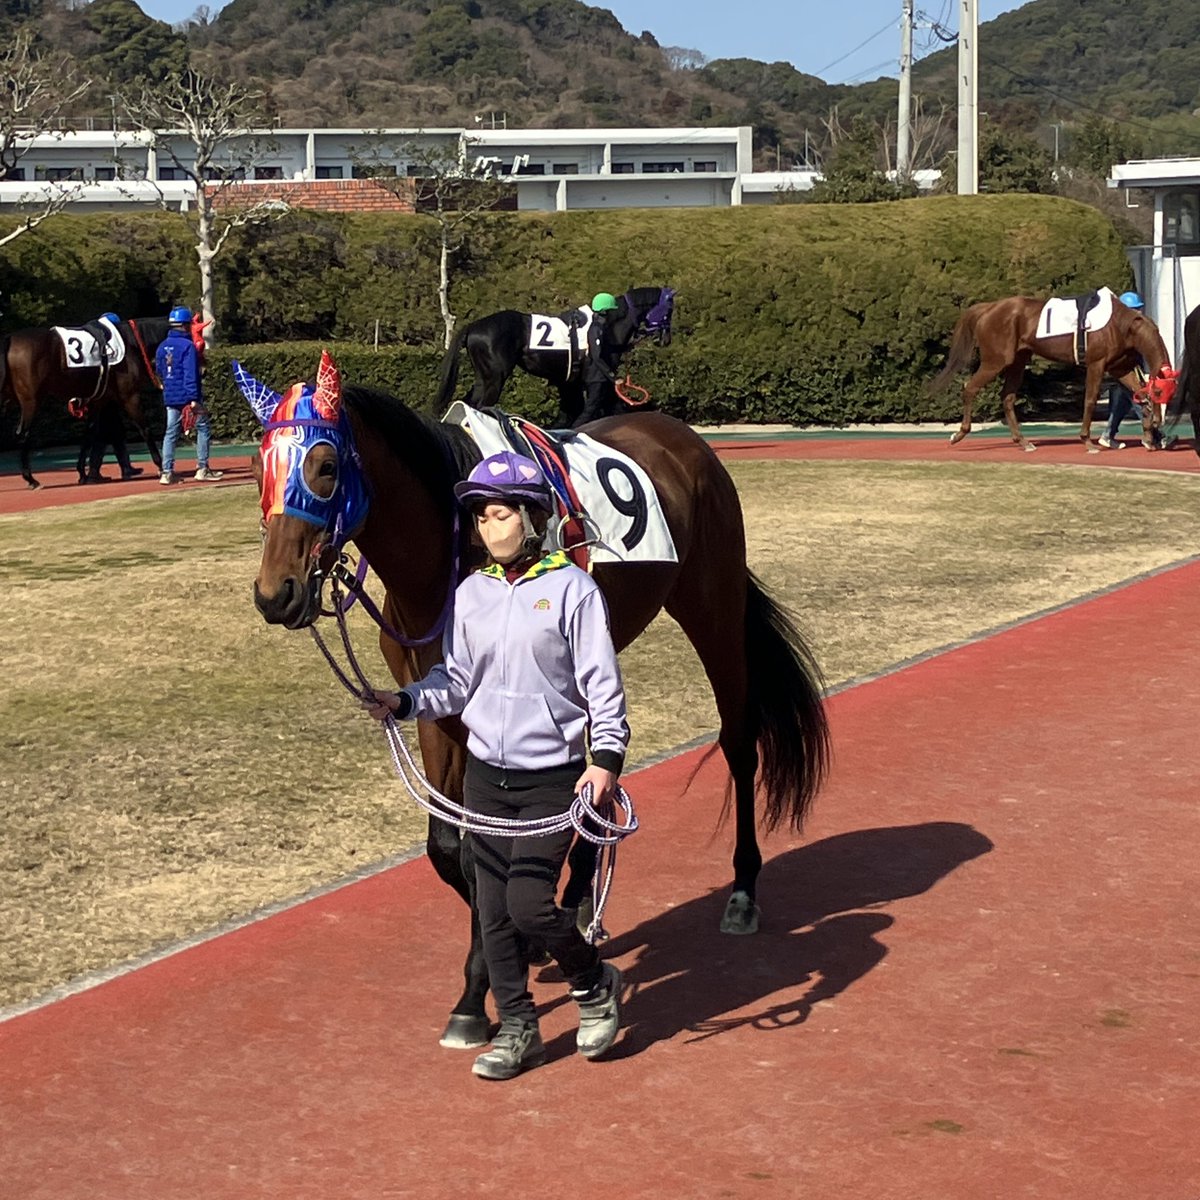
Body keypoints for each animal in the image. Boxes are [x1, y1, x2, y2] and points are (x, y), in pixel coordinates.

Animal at [0, 316, 170, 488]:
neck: (132, 342)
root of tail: (9, 338)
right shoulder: (129, 396)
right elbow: (145, 429)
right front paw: (161, 467)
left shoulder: (99, 400)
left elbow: (89, 434)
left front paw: (83, 473)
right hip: (31, 400)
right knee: (23, 433)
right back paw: (30, 479)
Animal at [238, 350, 830, 1051]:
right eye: (257, 469)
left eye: (326, 467)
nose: (275, 593)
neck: (447, 555)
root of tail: (684, 440)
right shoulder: (439, 709)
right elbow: (453, 850)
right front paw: (515, 953)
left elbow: (482, 848)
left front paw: (479, 992)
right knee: (599, 771)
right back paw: (574, 898)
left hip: (710, 610)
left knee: (735, 743)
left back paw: (741, 890)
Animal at [434, 286, 675, 427]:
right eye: (670, 309)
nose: (666, 340)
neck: (609, 324)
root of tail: (474, 327)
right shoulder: (598, 381)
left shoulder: (571, 385)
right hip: (495, 379)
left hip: (482, 379)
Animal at [928, 292, 1174, 451]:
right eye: (1159, 392)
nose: (1159, 422)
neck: (1123, 324)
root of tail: (989, 308)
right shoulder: (1096, 364)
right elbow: (1090, 400)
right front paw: (1087, 441)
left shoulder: (1119, 368)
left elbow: (1139, 394)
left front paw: (1150, 436)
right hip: (995, 361)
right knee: (970, 388)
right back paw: (959, 434)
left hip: (1017, 361)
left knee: (1007, 398)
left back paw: (1023, 442)